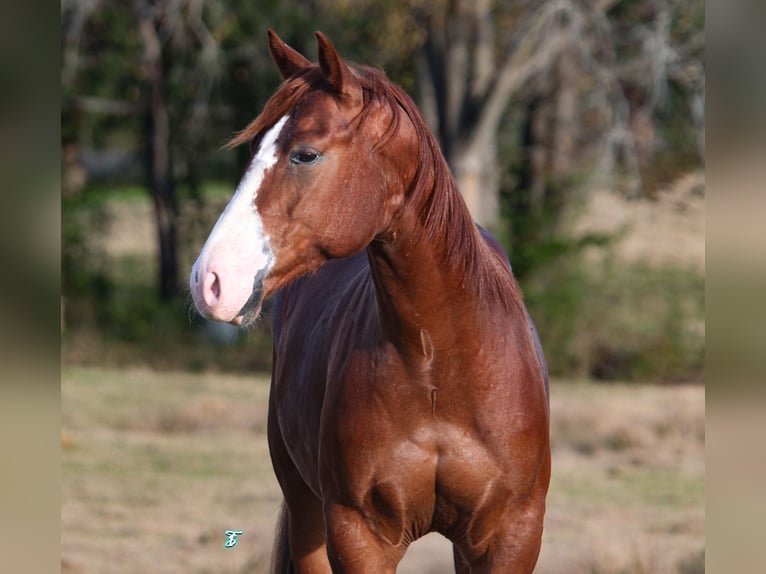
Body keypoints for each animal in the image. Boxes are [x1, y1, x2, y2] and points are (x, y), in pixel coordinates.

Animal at [192, 32, 552, 574]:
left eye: (305, 155)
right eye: (254, 147)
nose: (209, 280)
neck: (441, 366)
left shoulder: (509, 537)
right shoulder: (358, 533)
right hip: (306, 512)